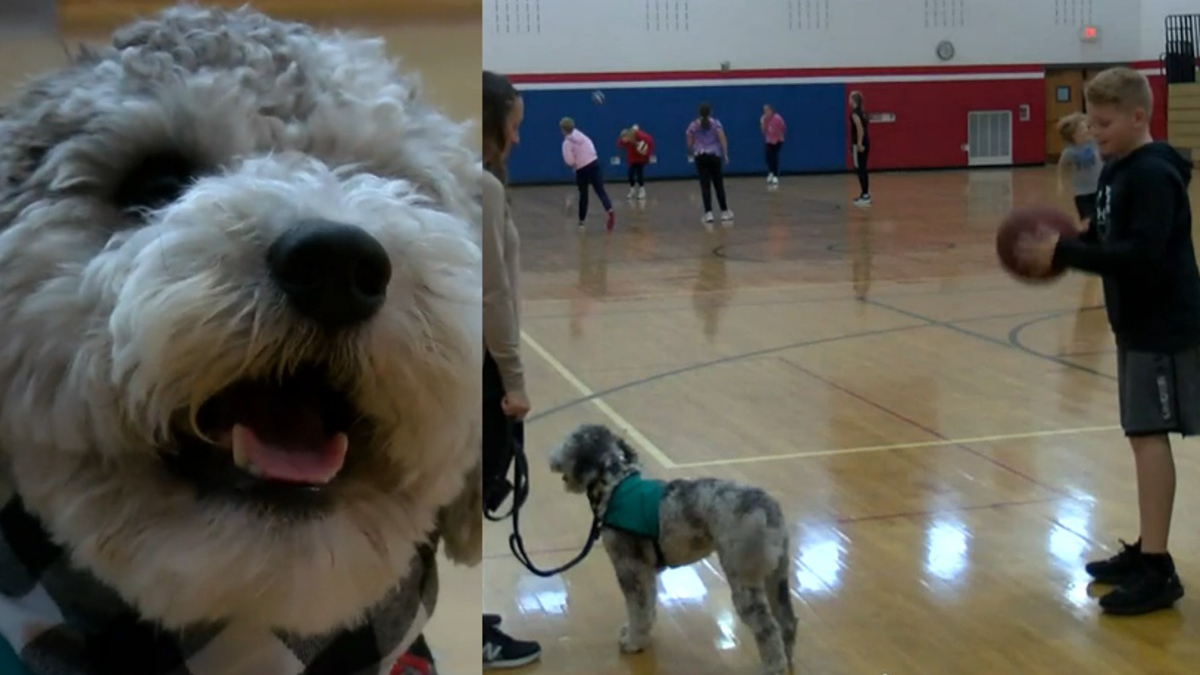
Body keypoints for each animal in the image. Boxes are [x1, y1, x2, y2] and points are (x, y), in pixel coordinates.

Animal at [549, 425, 796, 672]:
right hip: (776, 577)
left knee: (768, 628)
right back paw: (788, 658)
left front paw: (634, 641)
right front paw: (641, 636)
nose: (551, 458)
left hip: (744, 579)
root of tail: (769, 508)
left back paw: (774, 667)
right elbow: (648, 607)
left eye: (567, 443)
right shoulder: (646, 571)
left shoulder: (630, 569)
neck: (615, 485)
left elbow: (637, 609)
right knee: (787, 622)